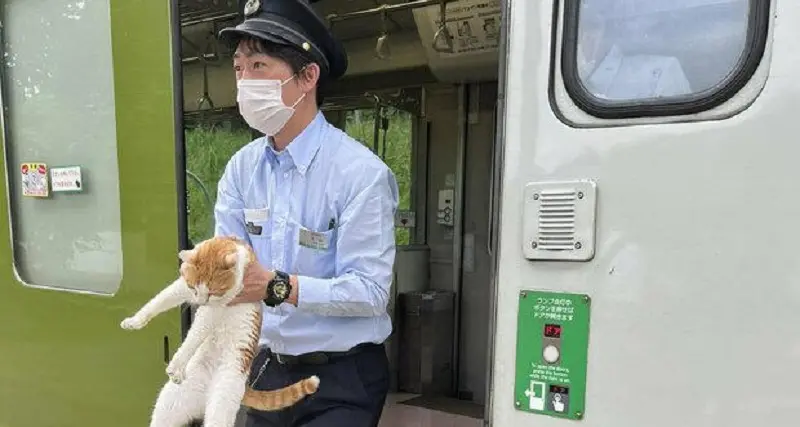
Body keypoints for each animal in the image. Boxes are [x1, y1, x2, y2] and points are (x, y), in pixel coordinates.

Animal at [119, 236, 318, 427]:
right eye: (194, 288)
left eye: (213, 292)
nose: (200, 301)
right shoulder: (182, 286)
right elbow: (158, 301)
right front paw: (135, 321)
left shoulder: (216, 306)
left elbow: (193, 337)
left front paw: (177, 364)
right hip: (169, 405)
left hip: (223, 397)